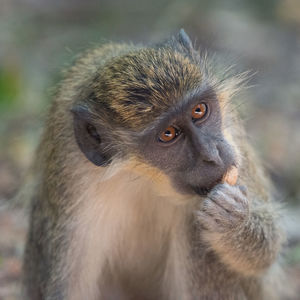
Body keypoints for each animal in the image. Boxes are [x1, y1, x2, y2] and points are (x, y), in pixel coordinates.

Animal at [22, 28, 286, 300]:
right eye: (168, 134)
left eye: (199, 110)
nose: (212, 155)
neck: (144, 176)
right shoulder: (69, 171)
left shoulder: (232, 135)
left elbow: (269, 249)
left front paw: (234, 224)